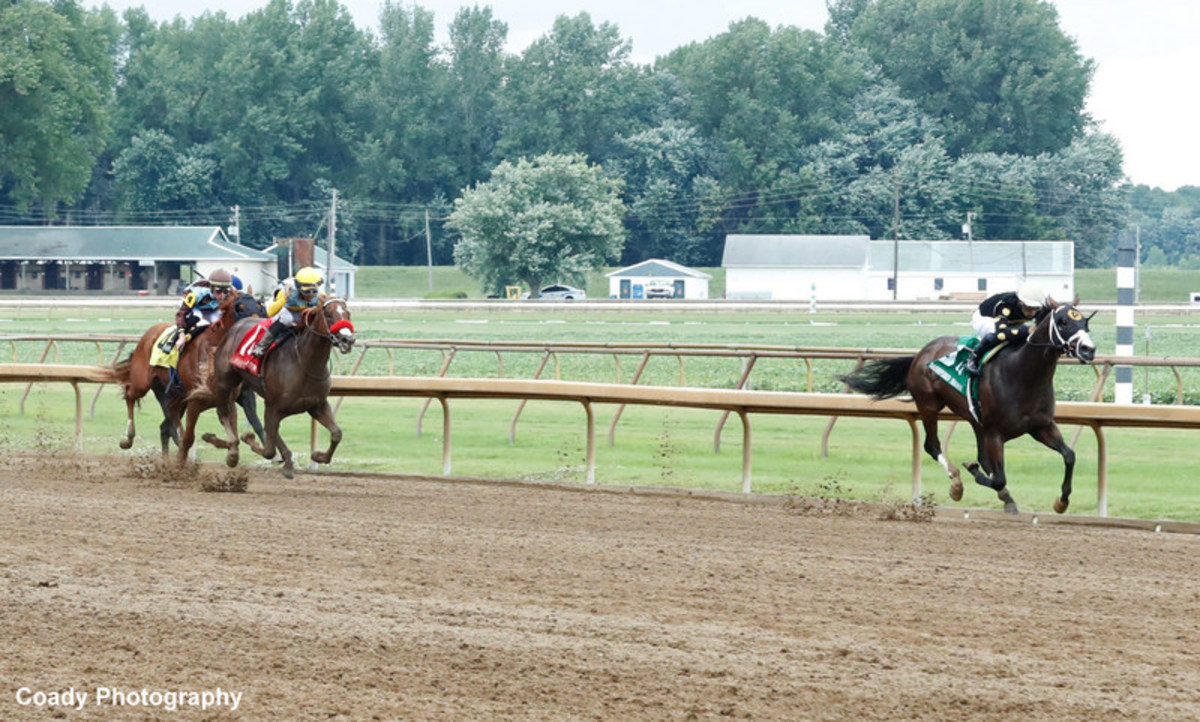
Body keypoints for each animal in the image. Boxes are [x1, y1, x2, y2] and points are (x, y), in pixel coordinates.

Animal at [177, 297, 355, 477]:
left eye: (348, 313)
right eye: (329, 314)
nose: (348, 340)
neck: (305, 363)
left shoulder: (317, 405)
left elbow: (336, 434)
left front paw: (318, 456)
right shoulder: (273, 407)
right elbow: (269, 449)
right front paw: (251, 441)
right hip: (224, 383)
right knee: (220, 411)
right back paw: (228, 452)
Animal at [835, 301, 1099, 513]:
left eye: (1085, 322)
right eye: (1063, 322)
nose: (1089, 349)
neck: (1023, 375)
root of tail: (922, 352)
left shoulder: (1041, 426)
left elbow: (1069, 456)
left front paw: (1061, 502)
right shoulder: (995, 433)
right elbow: (998, 477)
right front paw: (969, 471)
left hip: (974, 419)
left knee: (981, 456)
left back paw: (1004, 497)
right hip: (929, 405)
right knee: (932, 446)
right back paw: (956, 483)